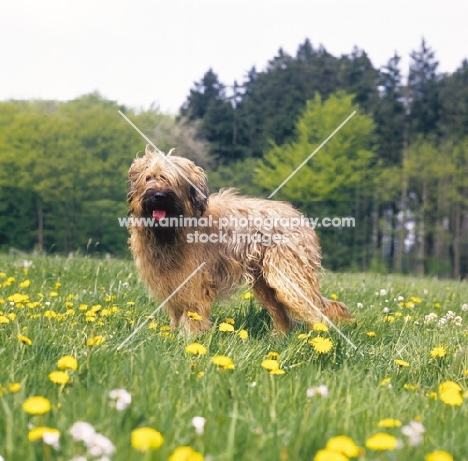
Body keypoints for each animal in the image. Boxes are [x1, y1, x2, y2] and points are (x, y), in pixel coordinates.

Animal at [128, 146, 352, 330]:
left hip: (288, 276)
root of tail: (301, 219)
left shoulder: (195, 282)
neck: (169, 232)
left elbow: (193, 314)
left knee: (314, 311)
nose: (158, 196)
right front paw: (173, 335)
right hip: (265, 282)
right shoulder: (171, 282)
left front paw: (189, 339)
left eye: (172, 181)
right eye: (149, 178)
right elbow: (176, 314)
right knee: (283, 316)